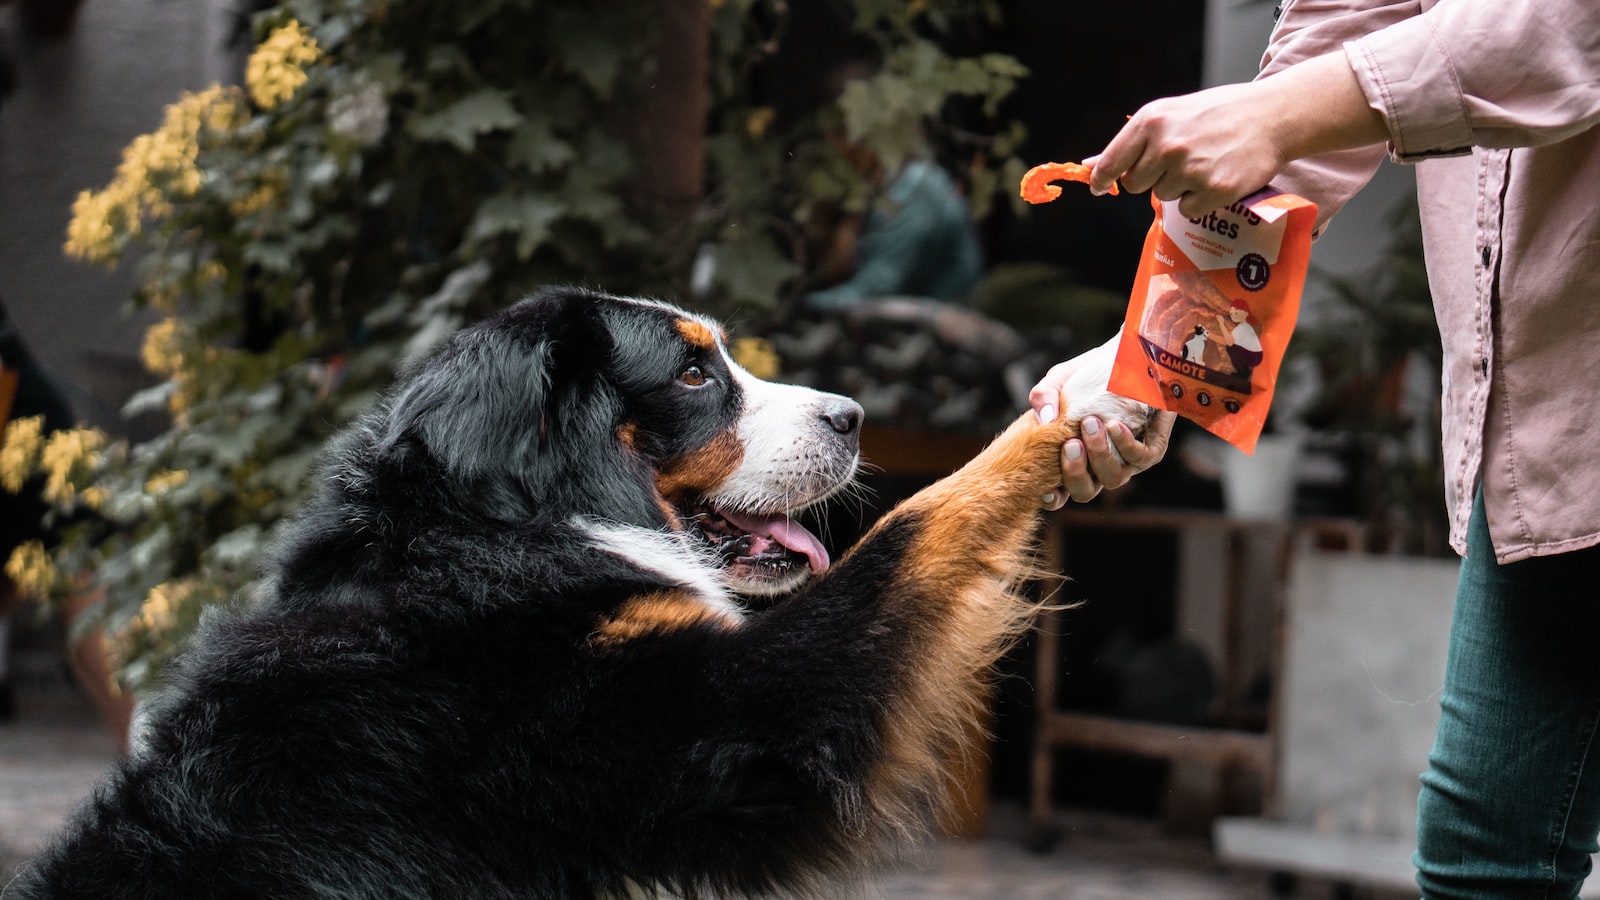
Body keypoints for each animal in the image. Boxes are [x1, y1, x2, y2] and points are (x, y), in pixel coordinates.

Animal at [15, 286, 1164, 896]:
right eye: (695, 376)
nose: (852, 416)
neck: (495, 535)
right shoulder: (720, 720)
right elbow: (921, 523)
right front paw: (1091, 395)